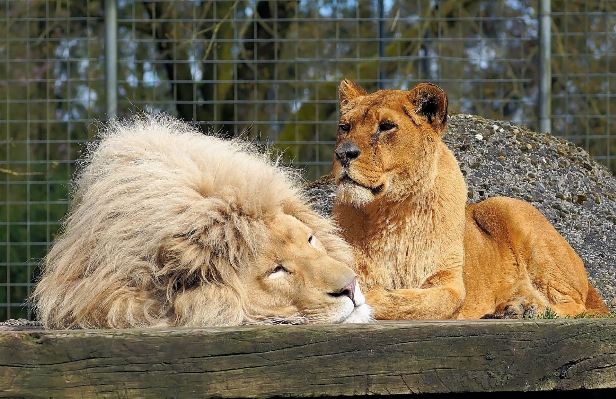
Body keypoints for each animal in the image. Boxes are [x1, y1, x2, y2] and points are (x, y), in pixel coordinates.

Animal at [330, 79, 608, 320]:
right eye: (345, 127)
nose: (343, 153)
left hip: (505, 206)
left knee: (574, 305)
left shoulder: (450, 282)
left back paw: (523, 308)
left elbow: (418, 302)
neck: (390, 212)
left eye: (386, 126)